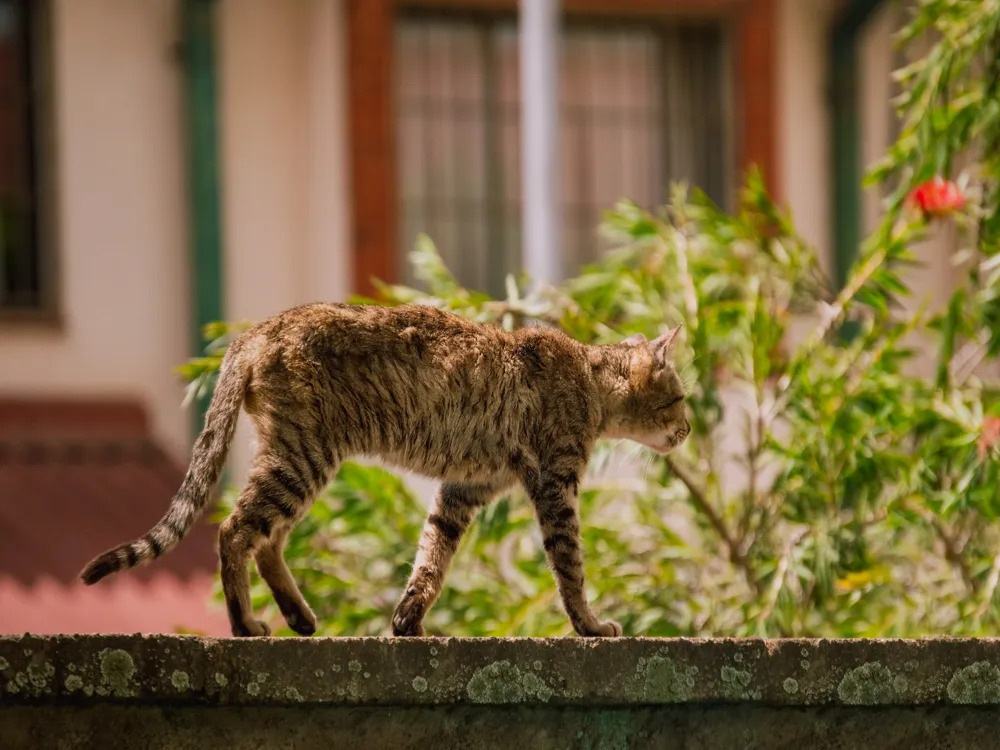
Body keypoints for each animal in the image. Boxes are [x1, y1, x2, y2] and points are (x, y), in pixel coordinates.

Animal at [80, 306, 688, 640]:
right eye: (680, 398)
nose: (686, 428)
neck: (589, 380)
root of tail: (255, 332)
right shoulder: (555, 486)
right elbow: (570, 569)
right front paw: (591, 626)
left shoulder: (464, 489)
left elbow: (430, 560)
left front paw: (407, 621)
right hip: (301, 456)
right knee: (235, 531)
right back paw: (244, 625)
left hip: (296, 458)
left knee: (267, 539)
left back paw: (298, 616)